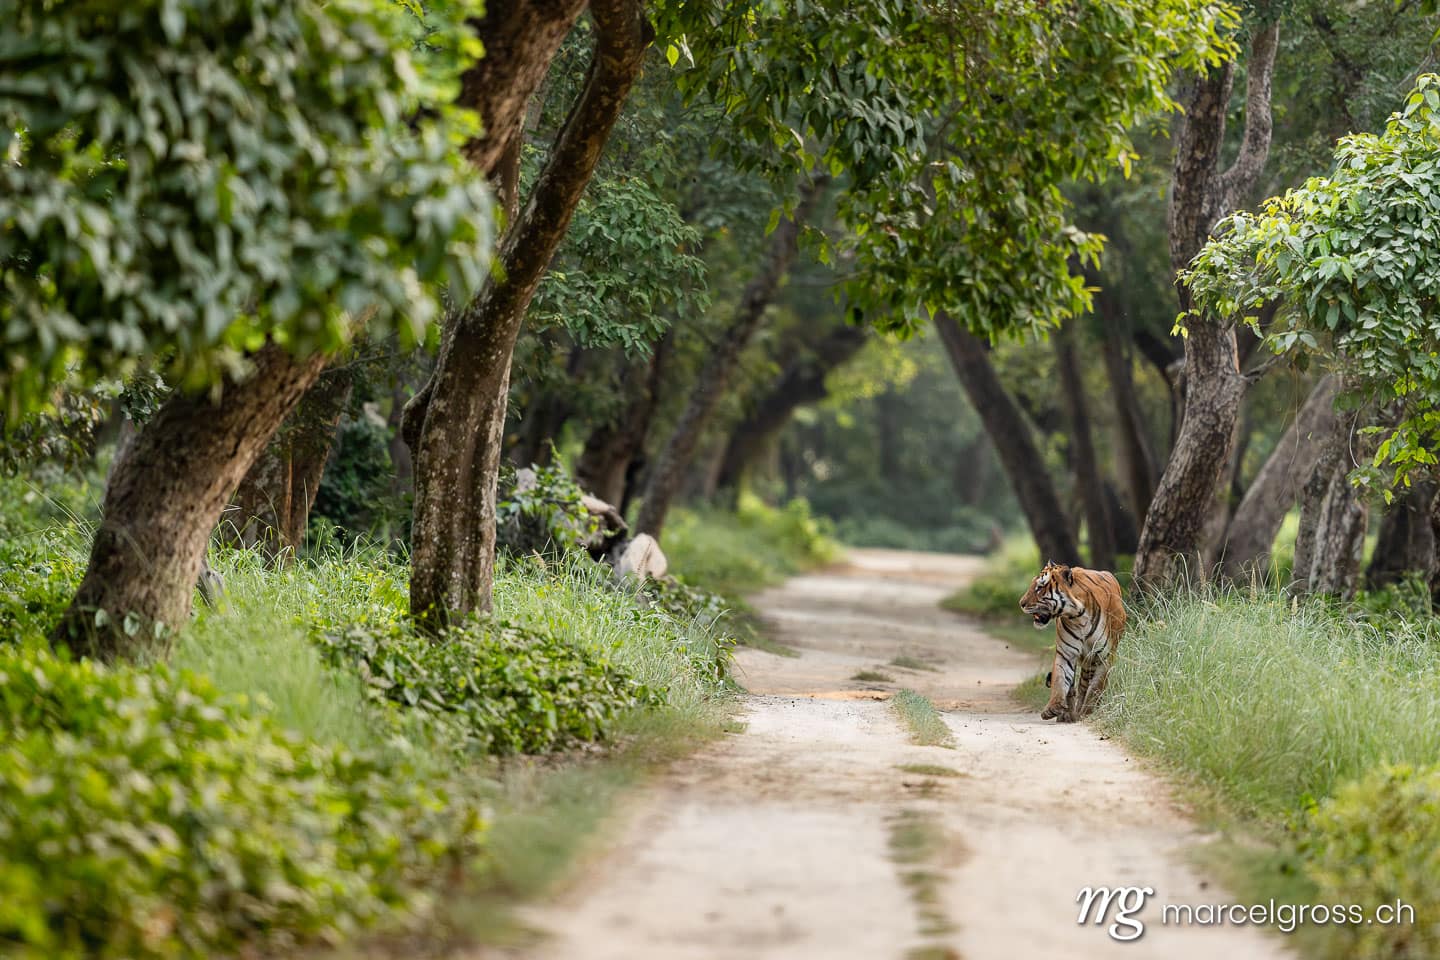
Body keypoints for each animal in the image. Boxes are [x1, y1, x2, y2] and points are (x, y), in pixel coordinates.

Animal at [1018, 561, 1125, 723]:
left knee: (1085, 686)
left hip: (1090, 661)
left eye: (1040, 587)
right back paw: (1067, 714)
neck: (1078, 617)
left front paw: (1088, 712)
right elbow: (1060, 679)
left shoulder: (1104, 657)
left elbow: (1096, 687)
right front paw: (1053, 708)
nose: (1021, 603)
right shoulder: (1066, 653)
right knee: (1074, 687)